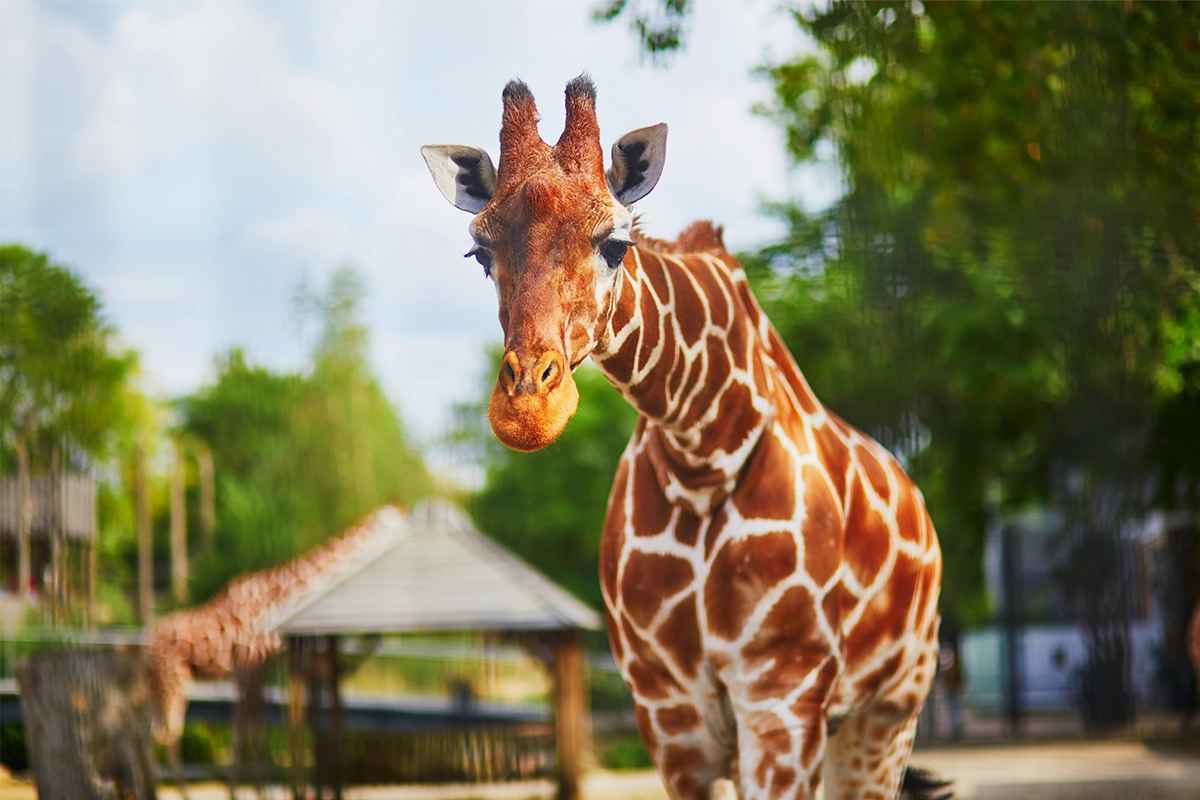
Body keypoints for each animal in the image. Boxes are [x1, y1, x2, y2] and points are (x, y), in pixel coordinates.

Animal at [147, 509, 387, 798]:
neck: (276, 597)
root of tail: (147, 644)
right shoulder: (249, 669)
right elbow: (246, 732)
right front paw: (245, 792)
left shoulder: (258, 672)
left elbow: (253, 730)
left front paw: (258, 791)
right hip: (174, 680)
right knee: (167, 733)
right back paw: (178, 793)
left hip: (163, 685)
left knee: (155, 730)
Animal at [423, 76, 945, 800]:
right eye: (479, 253)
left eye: (616, 243)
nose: (528, 412)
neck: (702, 444)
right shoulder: (668, 709)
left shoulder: (782, 691)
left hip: (888, 714)